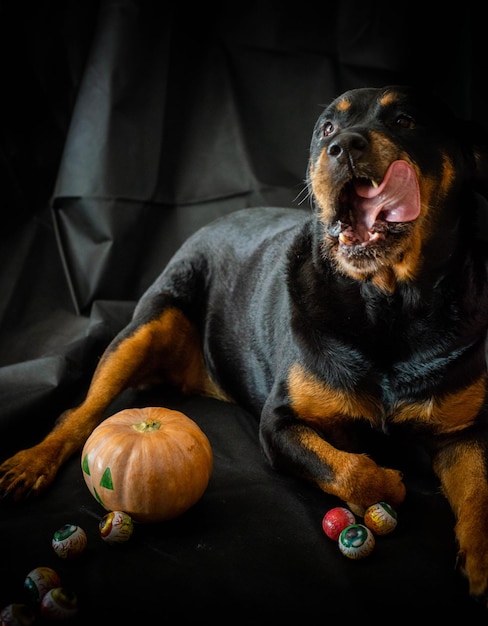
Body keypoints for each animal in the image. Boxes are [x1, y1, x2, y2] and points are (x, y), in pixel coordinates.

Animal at [0, 84, 488, 600]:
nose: (344, 146)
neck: (387, 305)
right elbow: (349, 469)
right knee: (83, 409)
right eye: (327, 128)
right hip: (148, 322)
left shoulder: (465, 433)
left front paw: (481, 560)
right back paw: (33, 461)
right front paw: (389, 485)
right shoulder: (278, 423)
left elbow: (478, 492)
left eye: (406, 120)